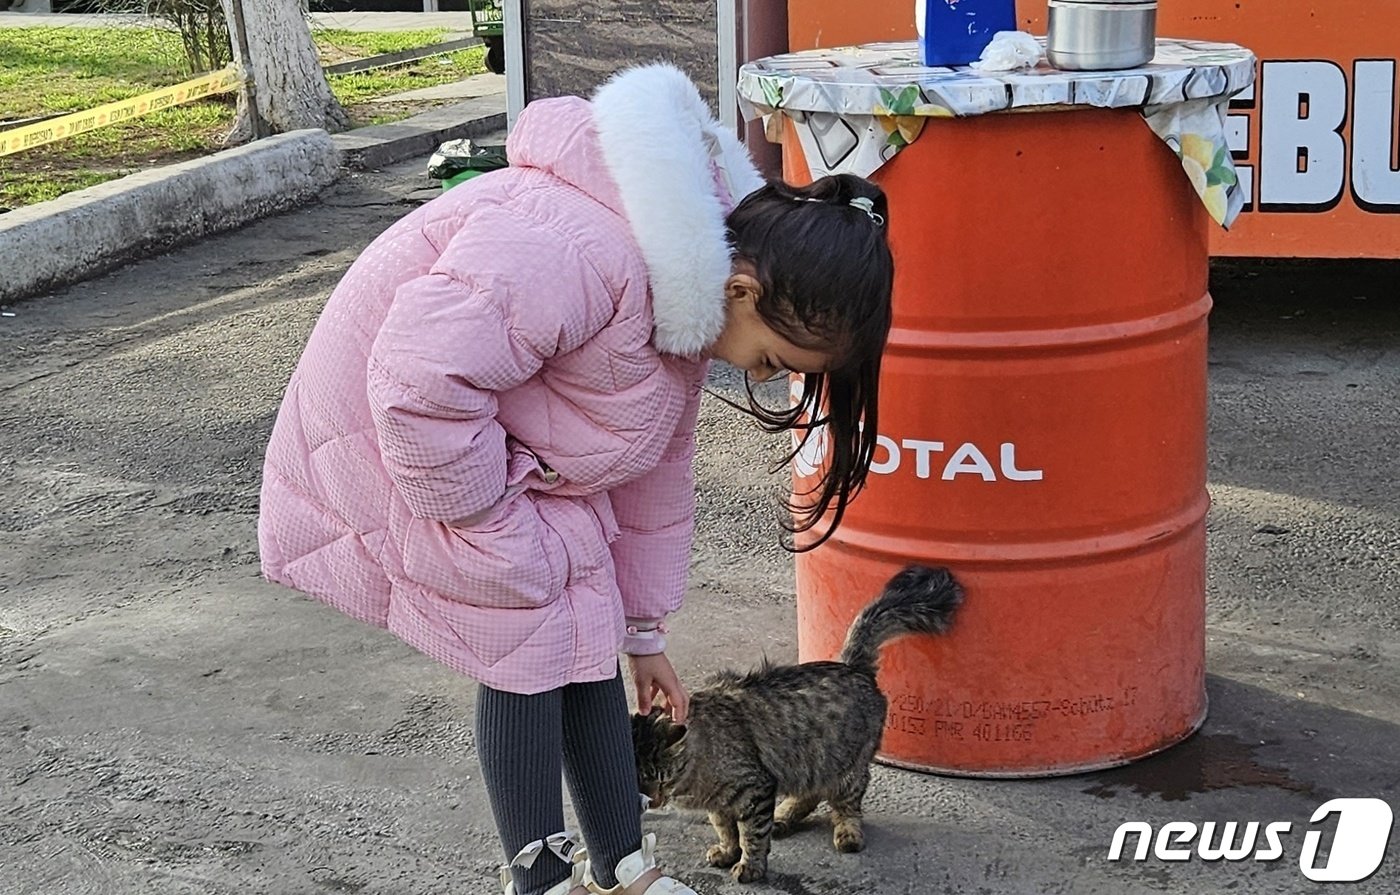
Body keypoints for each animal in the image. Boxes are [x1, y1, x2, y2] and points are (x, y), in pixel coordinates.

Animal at [632, 565, 963, 885]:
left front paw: (750, 867)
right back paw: (783, 818)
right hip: (810, 762)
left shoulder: (755, 788)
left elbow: (751, 835)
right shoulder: (721, 804)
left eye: (662, 779)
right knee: (810, 794)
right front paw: (727, 851)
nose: (654, 801)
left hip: (845, 767)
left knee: (847, 805)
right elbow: (725, 828)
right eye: (642, 783)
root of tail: (853, 666)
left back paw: (846, 834)